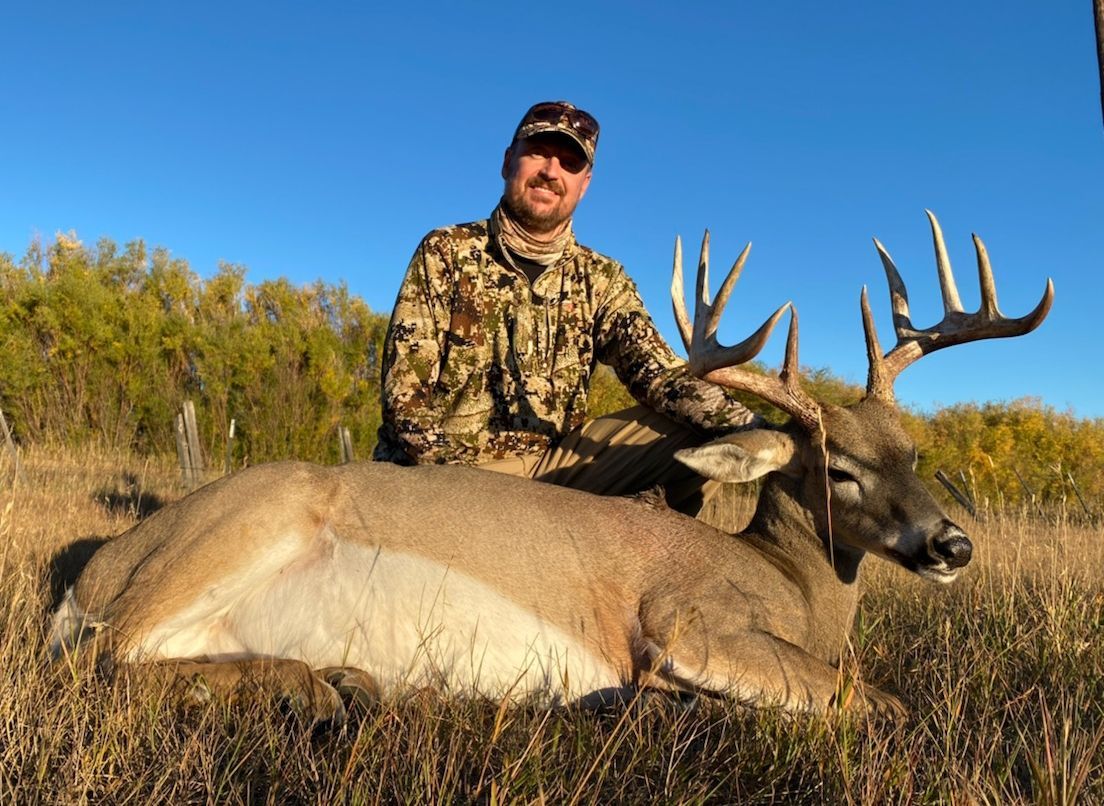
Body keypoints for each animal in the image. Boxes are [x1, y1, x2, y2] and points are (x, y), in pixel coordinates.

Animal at [49, 212, 1052, 724]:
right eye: (838, 470)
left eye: (913, 452)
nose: (953, 545)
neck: (793, 590)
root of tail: (92, 569)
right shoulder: (690, 624)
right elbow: (876, 699)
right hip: (249, 523)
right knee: (103, 660)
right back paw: (324, 685)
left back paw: (346, 681)